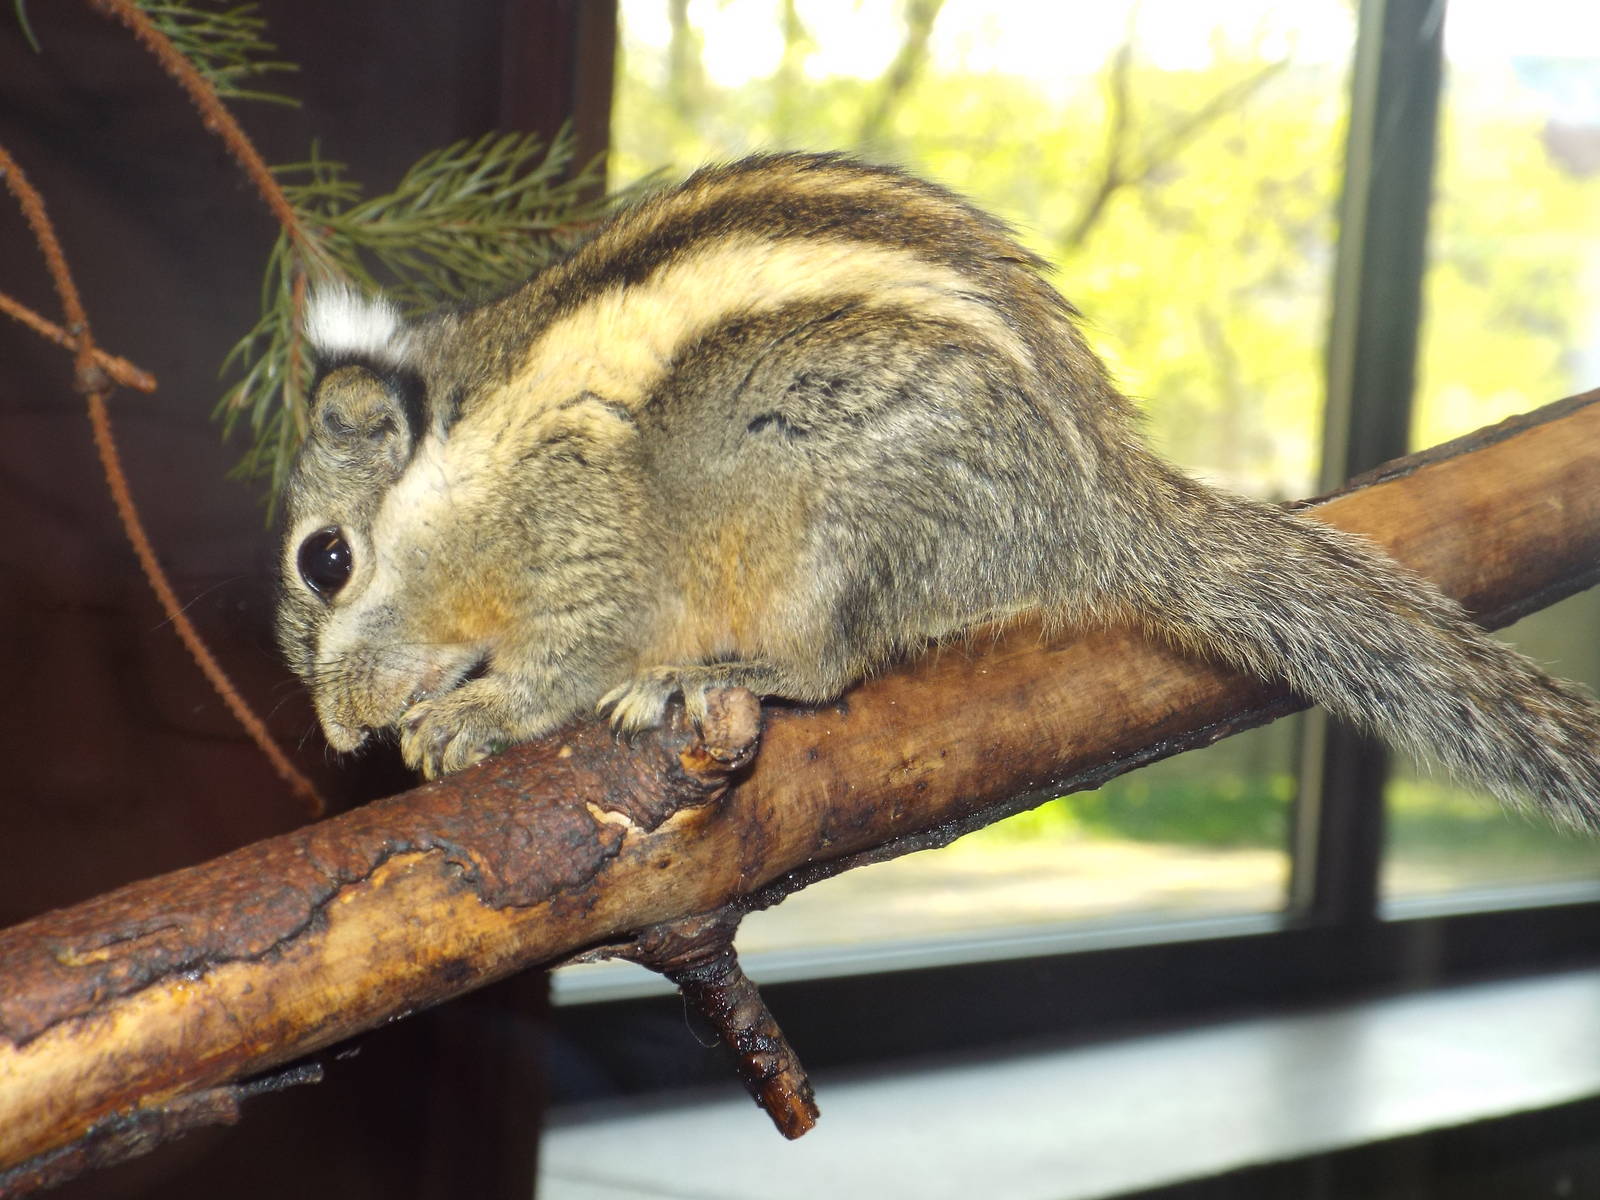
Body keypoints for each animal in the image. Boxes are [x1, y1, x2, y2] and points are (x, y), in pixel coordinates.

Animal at [277, 151, 1600, 829]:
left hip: (819, 492)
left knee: (825, 668)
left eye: (325, 559)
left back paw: (708, 672)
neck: (467, 453)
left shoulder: (588, 539)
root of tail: (1095, 510)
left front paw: (482, 714)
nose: (340, 736)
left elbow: (568, 659)